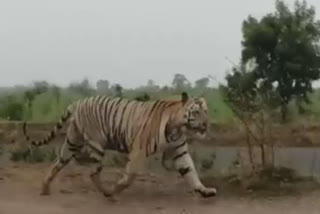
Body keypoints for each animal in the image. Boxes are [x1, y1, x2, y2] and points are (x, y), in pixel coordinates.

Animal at [22, 92, 218, 199]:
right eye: (196, 112)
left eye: (206, 111)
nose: (206, 124)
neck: (178, 127)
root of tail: (77, 102)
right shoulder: (139, 149)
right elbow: (130, 175)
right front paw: (118, 188)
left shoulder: (179, 151)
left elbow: (191, 172)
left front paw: (204, 191)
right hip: (96, 144)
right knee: (93, 173)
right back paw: (109, 193)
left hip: (72, 143)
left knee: (58, 163)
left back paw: (45, 188)